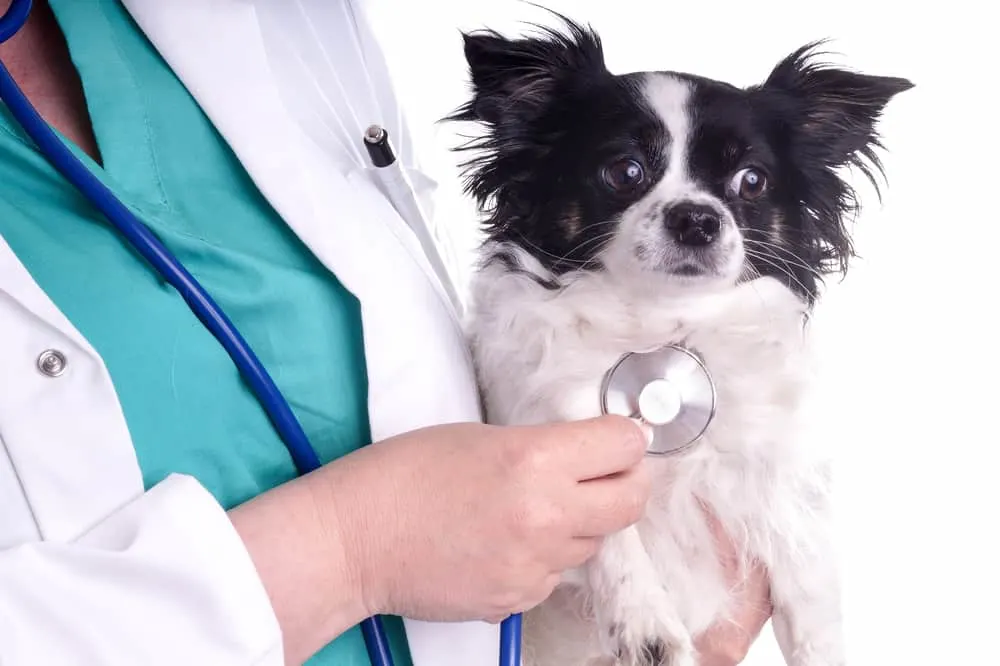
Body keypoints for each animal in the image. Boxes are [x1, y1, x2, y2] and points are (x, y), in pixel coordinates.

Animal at [450, 14, 912, 664]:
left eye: (752, 181)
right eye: (625, 172)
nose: (697, 217)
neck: (661, 325)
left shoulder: (783, 473)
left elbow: (808, 577)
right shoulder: (550, 442)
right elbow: (611, 532)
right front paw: (646, 623)